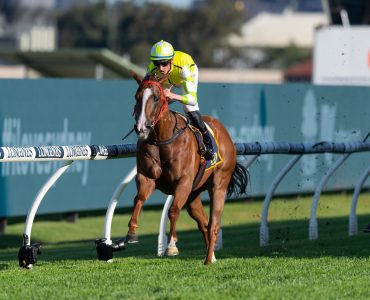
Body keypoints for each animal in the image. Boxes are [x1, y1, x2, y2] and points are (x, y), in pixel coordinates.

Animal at [125, 75, 247, 264]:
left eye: (156, 98)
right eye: (137, 97)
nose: (141, 128)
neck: (162, 138)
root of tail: (225, 133)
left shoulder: (183, 182)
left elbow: (173, 210)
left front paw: (171, 245)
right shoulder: (146, 178)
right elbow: (139, 199)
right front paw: (131, 233)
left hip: (219, 185)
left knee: (213, 225)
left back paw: (208, 260)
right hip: (193, 196)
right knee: (204, 223)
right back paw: (211, 257)